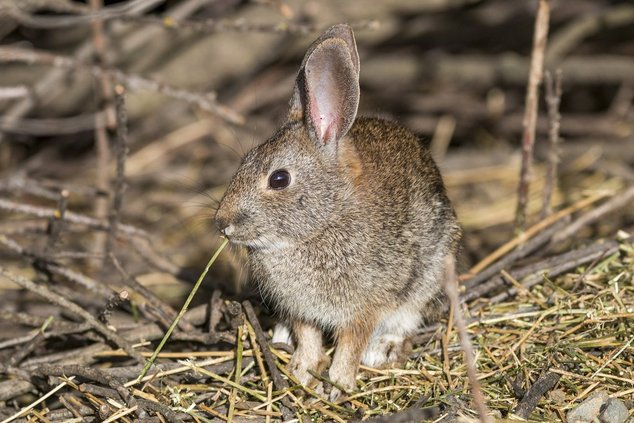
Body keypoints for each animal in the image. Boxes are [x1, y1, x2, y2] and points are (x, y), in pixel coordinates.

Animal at [214, 23, 460, 400]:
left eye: (279, 179)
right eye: (244, 162)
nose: (222, 223)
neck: (323, 222)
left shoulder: (365, 307)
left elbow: (351, 344)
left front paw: (339, 384)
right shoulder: (300, 309)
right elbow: (308, 337)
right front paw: (302, 373)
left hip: (429, 276)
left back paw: (383, 349)